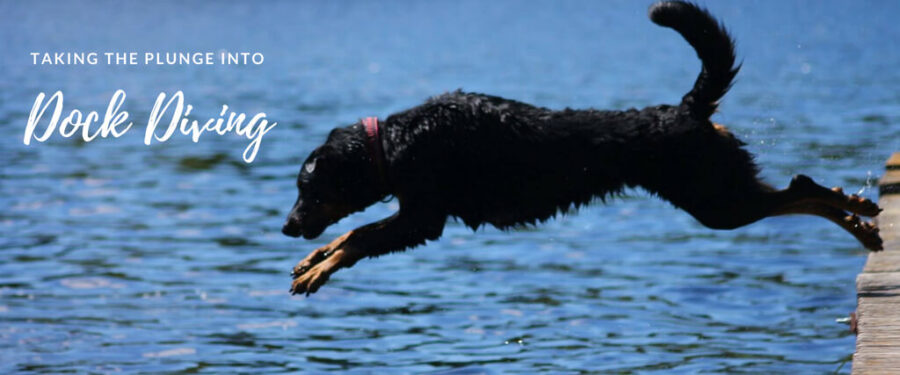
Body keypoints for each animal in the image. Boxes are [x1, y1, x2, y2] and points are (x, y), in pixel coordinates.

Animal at [284, 1, 884, 298]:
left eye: (306, 188)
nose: (287, 226)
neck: (392, 145)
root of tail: (689, 109)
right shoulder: (414, 216)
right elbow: (351, 233)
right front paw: (313, 259)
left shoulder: (422, 219)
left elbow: (359, 238)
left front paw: (319, 270)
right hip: (721, 194)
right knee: (799, 192)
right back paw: (861, 222)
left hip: (717, 203)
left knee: (801, 190)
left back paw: (857, 213)